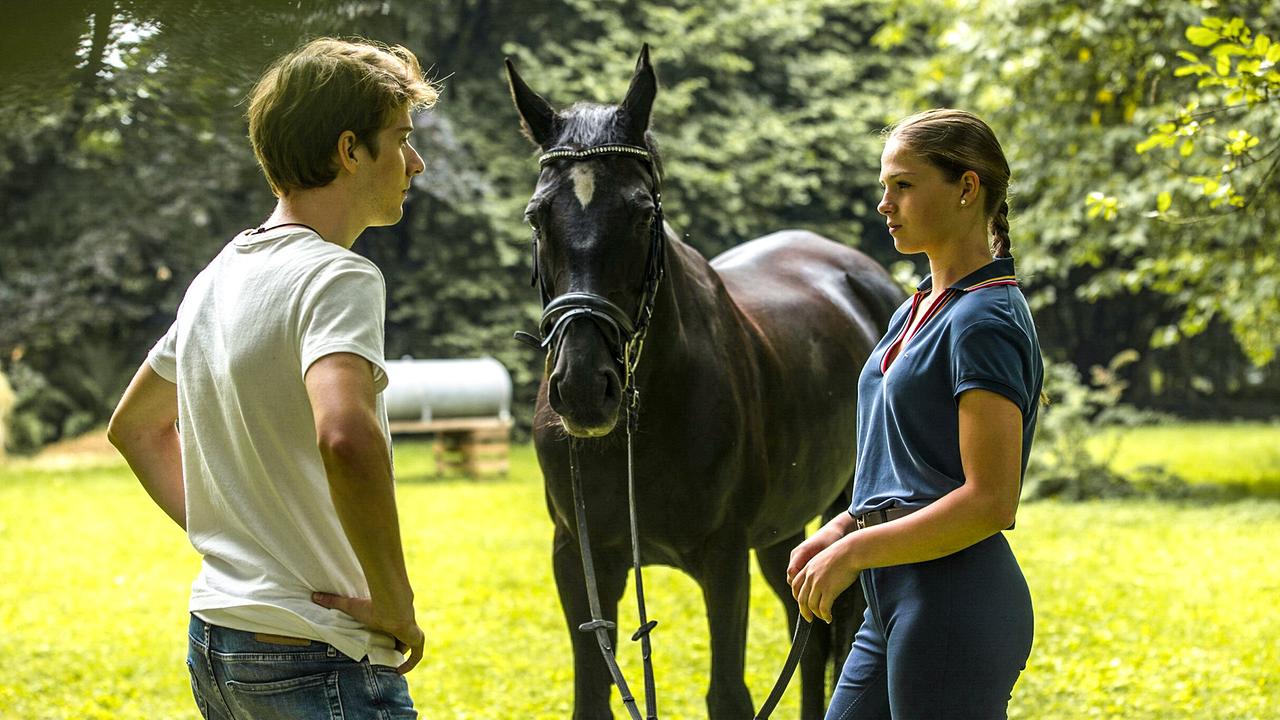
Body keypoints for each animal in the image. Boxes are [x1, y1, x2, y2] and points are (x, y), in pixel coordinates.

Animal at [504, 47, 906, 712]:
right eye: (538, 218)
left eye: (643, 215)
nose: (585, 389)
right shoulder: (578, 558)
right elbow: (592, 696)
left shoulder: (724, 559)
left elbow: (728, 694)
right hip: (782, 535)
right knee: (812, 638)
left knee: (839, 636)